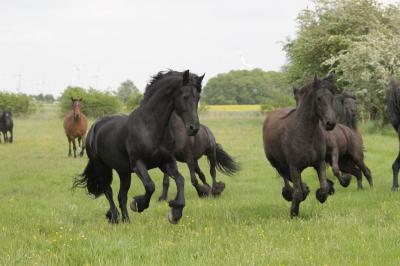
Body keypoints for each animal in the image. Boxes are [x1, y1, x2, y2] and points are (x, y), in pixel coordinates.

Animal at [73, 69, 203, 223]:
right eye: (185, 97)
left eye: (198, 97)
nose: (193, 128)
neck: (150, 126)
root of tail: (94, 128)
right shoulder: (138, 164)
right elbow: (150, 186)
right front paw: (138, 204)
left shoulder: (166, 162)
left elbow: (180, 180)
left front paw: (175, 212)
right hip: (101, 167)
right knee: (108, 190)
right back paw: (114, 217)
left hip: (123, 172)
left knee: (121, 196)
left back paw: (126, 221)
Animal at [262, 75, 338, 218]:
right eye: (319, 98)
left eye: (332, 98)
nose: (330, 123)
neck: (306, 133)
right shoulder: (294, 166)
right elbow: (297, 192)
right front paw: (294, 213)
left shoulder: (319, 163)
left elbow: (324, 187)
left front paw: (319, 195)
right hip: (277, 163)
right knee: (286, 179)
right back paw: (289, 194)